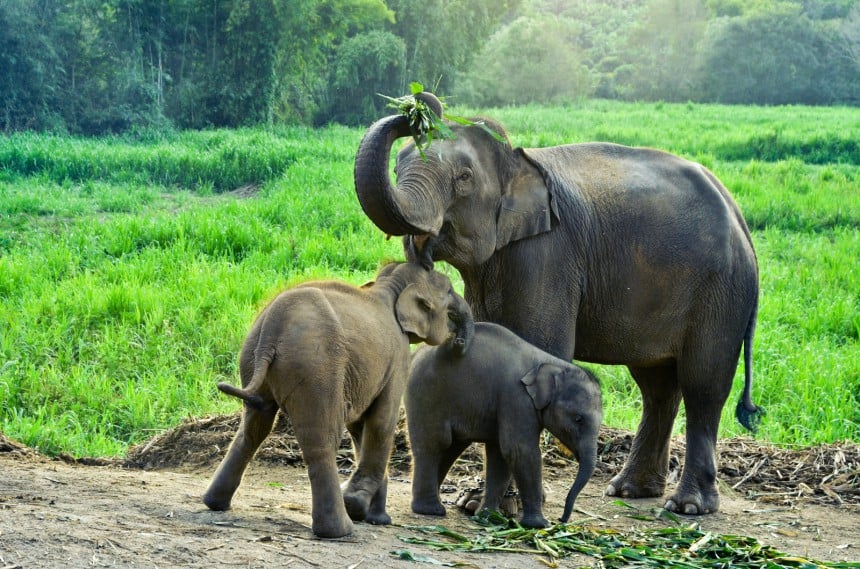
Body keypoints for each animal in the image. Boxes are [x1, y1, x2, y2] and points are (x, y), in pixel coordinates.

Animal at [202, 262, 474, 536]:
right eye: (449, 294)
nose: (460, 342)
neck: (391, 286)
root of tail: (274, 323)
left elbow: (360, 426)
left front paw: (375, 518)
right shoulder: (398, 357)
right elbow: (382, 421)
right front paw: (357, 506)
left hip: (251, 356)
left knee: (254, 428)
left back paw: (215, 503)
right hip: (317, 365)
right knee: (322, 439)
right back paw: (339, 530)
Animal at [406, 322, 600, 524]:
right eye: (578, 419)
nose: (561, 520)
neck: (552, 364)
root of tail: (416, 353)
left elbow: (500, 454)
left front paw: (489, 517)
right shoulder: (516, 398)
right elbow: (520, 450)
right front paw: (538, 524)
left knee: (451, 447)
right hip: (427, 394)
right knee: (434, 443)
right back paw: (430, 510)